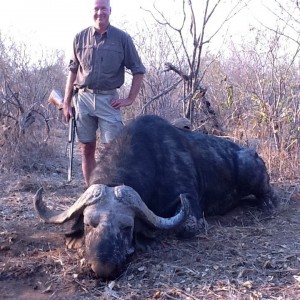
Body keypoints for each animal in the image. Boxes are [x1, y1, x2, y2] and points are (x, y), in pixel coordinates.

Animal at [33, 114, 276, 278]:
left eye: (127, 227)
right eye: (87, 224)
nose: (103, 267)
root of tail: (252, 154)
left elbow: (184, 228)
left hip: (252, 175)